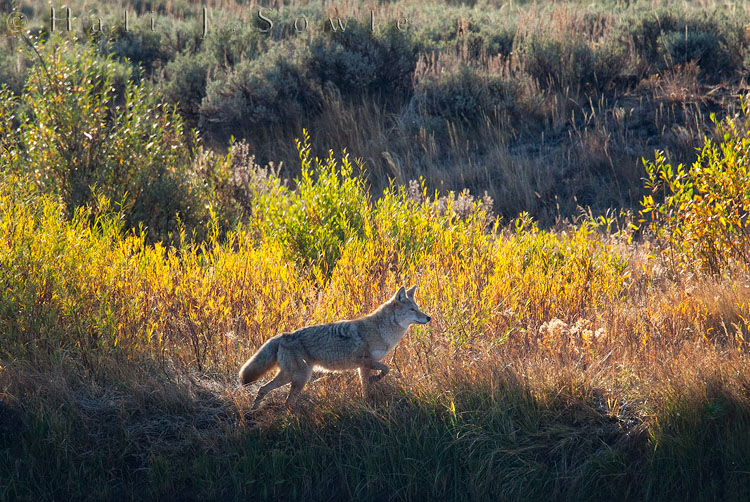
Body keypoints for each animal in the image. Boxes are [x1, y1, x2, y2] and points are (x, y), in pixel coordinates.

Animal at [239, 285, 430, 409]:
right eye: (413, 310)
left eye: (417, 308)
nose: (428, 318)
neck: (380, 330)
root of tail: (283, 335)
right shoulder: (364, 361)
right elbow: (387, 369)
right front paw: (375, 379)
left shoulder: (363, 366)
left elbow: (368, 386)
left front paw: (368, 401)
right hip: (300, 377)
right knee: (286, 401)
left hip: (291, 376)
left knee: (264, 389)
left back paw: (253, 410)